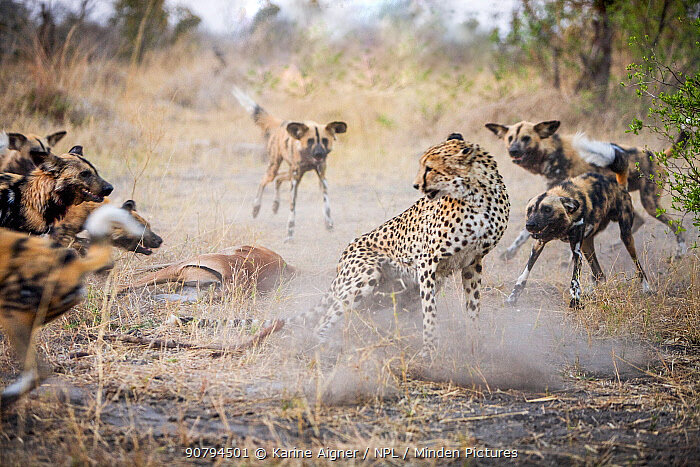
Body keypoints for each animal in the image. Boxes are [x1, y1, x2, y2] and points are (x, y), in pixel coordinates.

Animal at [232, 85, 348, 243]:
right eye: (310, 141)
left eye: (324, 141)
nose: (319, 154)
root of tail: (283, 123)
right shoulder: (295, 182)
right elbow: (292, 209)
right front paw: (289, 233)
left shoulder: (321, 178)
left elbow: (327, 205)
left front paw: (329, 224)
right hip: (276, 168)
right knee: (264, 180)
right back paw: (256, 207)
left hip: (293, 174)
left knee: (279, 178)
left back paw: (275, 205)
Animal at [302, 133, 508, 356]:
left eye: (430, 168)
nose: (415, 185)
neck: (478, 194)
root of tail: (341, 260)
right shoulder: (427, 261)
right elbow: (430, 309)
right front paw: (429, 349)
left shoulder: (473, 260)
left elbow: (473, 305)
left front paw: (474, 343)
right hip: (368, 273)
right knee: (321, 322)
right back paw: (331, 346)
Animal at [486, 120, 688, 258]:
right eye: (510, 138)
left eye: (526, 138)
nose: (513, 151)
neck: (553, 153)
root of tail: (656, 156)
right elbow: (525, 232)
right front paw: (510, 252)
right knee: (639, 220)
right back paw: (614, 245)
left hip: (650, 204)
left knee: (677, 226)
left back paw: (680, 252)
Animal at [504, 152, 652, 308]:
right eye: (529, 211)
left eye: (547, 210)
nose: (530, 225)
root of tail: (619, 185)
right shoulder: (538, 244)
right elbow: (524, 274)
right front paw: (513, 297)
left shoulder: (576, 252)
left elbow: (574, 280)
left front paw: (575, 300)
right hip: (587, 245)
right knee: (599, 274)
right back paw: (590, 293)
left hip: (625, 236)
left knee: (638, 266)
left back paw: (647, 288)